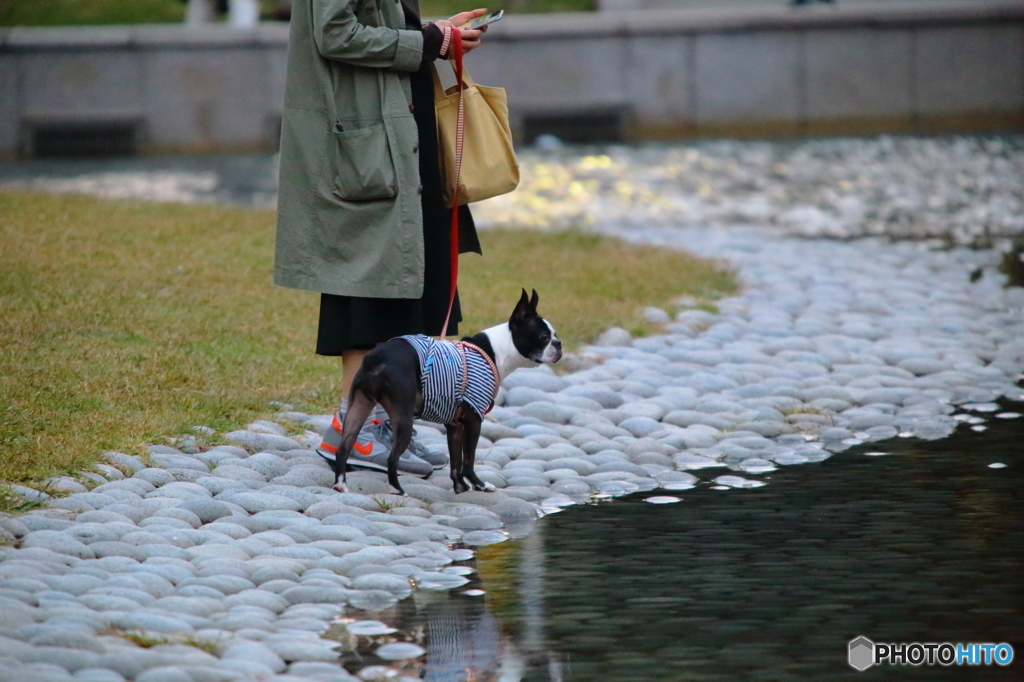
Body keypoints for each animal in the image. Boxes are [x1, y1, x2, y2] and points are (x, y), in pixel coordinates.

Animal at [331, 288, 565, 493]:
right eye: (544, 336)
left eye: (554, 334)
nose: (559, 344)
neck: (497, 350)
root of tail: (377, 357)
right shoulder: (474, 420)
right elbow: (468, 460)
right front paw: (479, 485)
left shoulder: (455, 424)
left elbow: (455, 462)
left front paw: (460, 488)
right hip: (403, 416)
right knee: (392, 458)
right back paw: (397, 490)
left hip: (359, 405)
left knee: (343, 448)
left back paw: (341, 485)